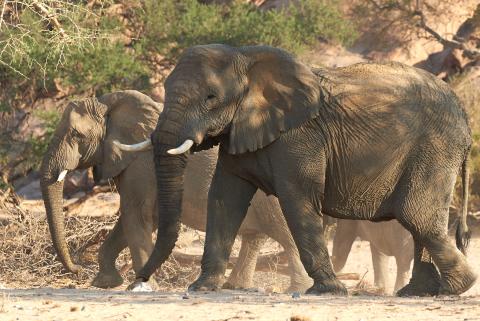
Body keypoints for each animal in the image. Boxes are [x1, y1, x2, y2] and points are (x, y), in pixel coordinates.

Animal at [38, 89, 312, 290]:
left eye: (76, 135)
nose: (76, 269)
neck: (110, 104)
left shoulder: (141, 166)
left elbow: (136, 217)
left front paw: (141, 286)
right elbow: (131, 222)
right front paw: (105, 283)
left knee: (284, 232)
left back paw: (299, 287)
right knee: (255, 235)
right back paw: (235, 287)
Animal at [121, 43, 476, 296]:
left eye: (211, 97)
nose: (138, 281)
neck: (246, 57)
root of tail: (463, 112)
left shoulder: (300, 137)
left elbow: (297, 199)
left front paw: (328, 291)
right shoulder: (240, 131)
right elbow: (224, 198)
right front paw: (202, 287)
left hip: (434, 148)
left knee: (417, 216)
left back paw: (454, 289)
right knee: (417, 220)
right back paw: (418, 293)